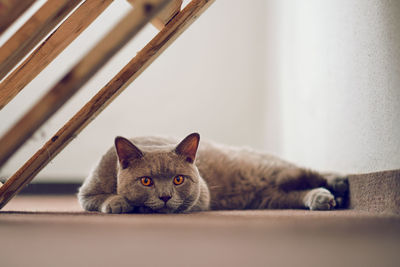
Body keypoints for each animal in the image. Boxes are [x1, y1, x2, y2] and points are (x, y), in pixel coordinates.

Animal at [77, 133, 346, 215]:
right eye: (146, 181)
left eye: (178, 179)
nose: (165, 196)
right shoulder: (87, 192)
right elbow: (97, 199)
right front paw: (118, 203)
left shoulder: (202, 195)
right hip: (269, 198)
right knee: (297, 193)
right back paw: (325, 199)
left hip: (276, 172)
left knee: (310, 172)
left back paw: (339, 184)